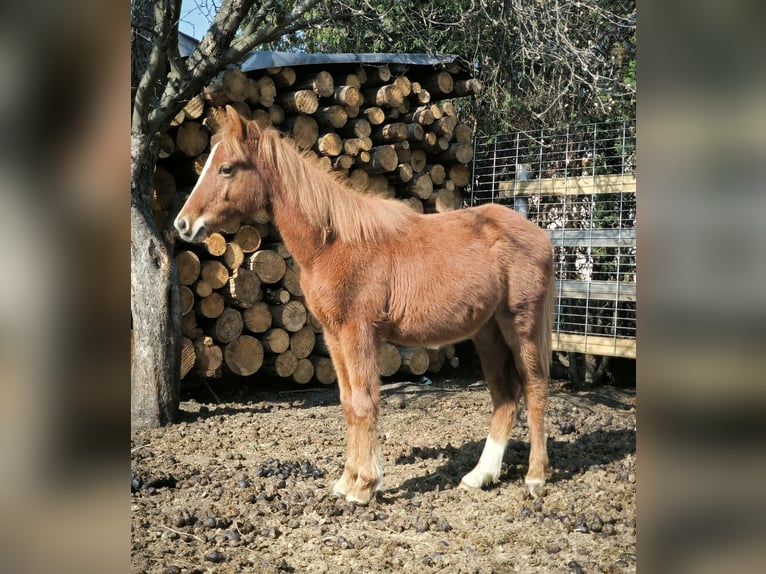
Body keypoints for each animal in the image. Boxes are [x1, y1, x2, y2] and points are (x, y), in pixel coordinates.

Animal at [177, 106, 556, 506]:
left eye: (226, 168)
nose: (183, 224)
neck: (332, 243)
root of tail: (539, 235)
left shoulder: (359, 331)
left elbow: (364, 402)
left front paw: (363, 487)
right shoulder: (334, 335)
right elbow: (348, 402)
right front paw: (347, 481)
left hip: (522, 326)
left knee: (534, 387)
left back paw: (535, 477)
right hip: (487, 332)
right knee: (505, 395)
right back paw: (480, 475)